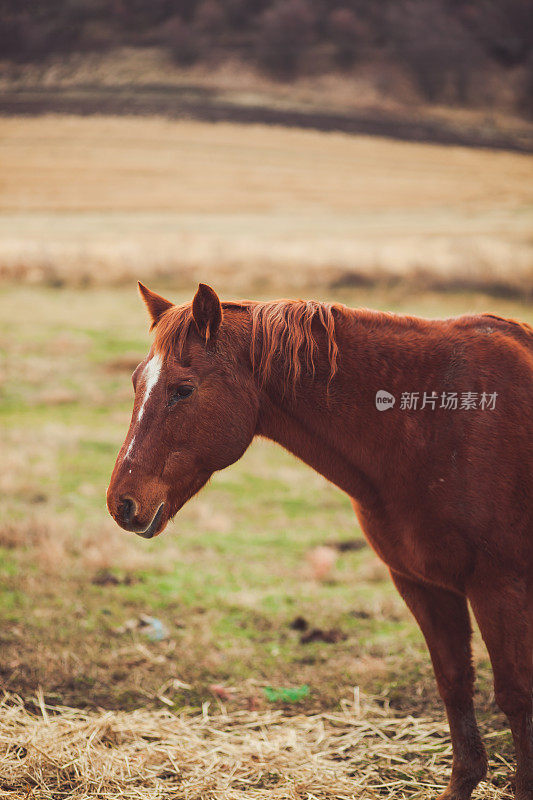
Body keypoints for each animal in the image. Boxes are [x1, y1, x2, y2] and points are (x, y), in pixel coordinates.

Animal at [108, 282, 532, 800]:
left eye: (182, 390)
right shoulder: (422, 584)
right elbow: (454, 682)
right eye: (136, 382)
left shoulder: (499, 588)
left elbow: (515, 695)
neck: (433, 425)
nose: (121, 503)